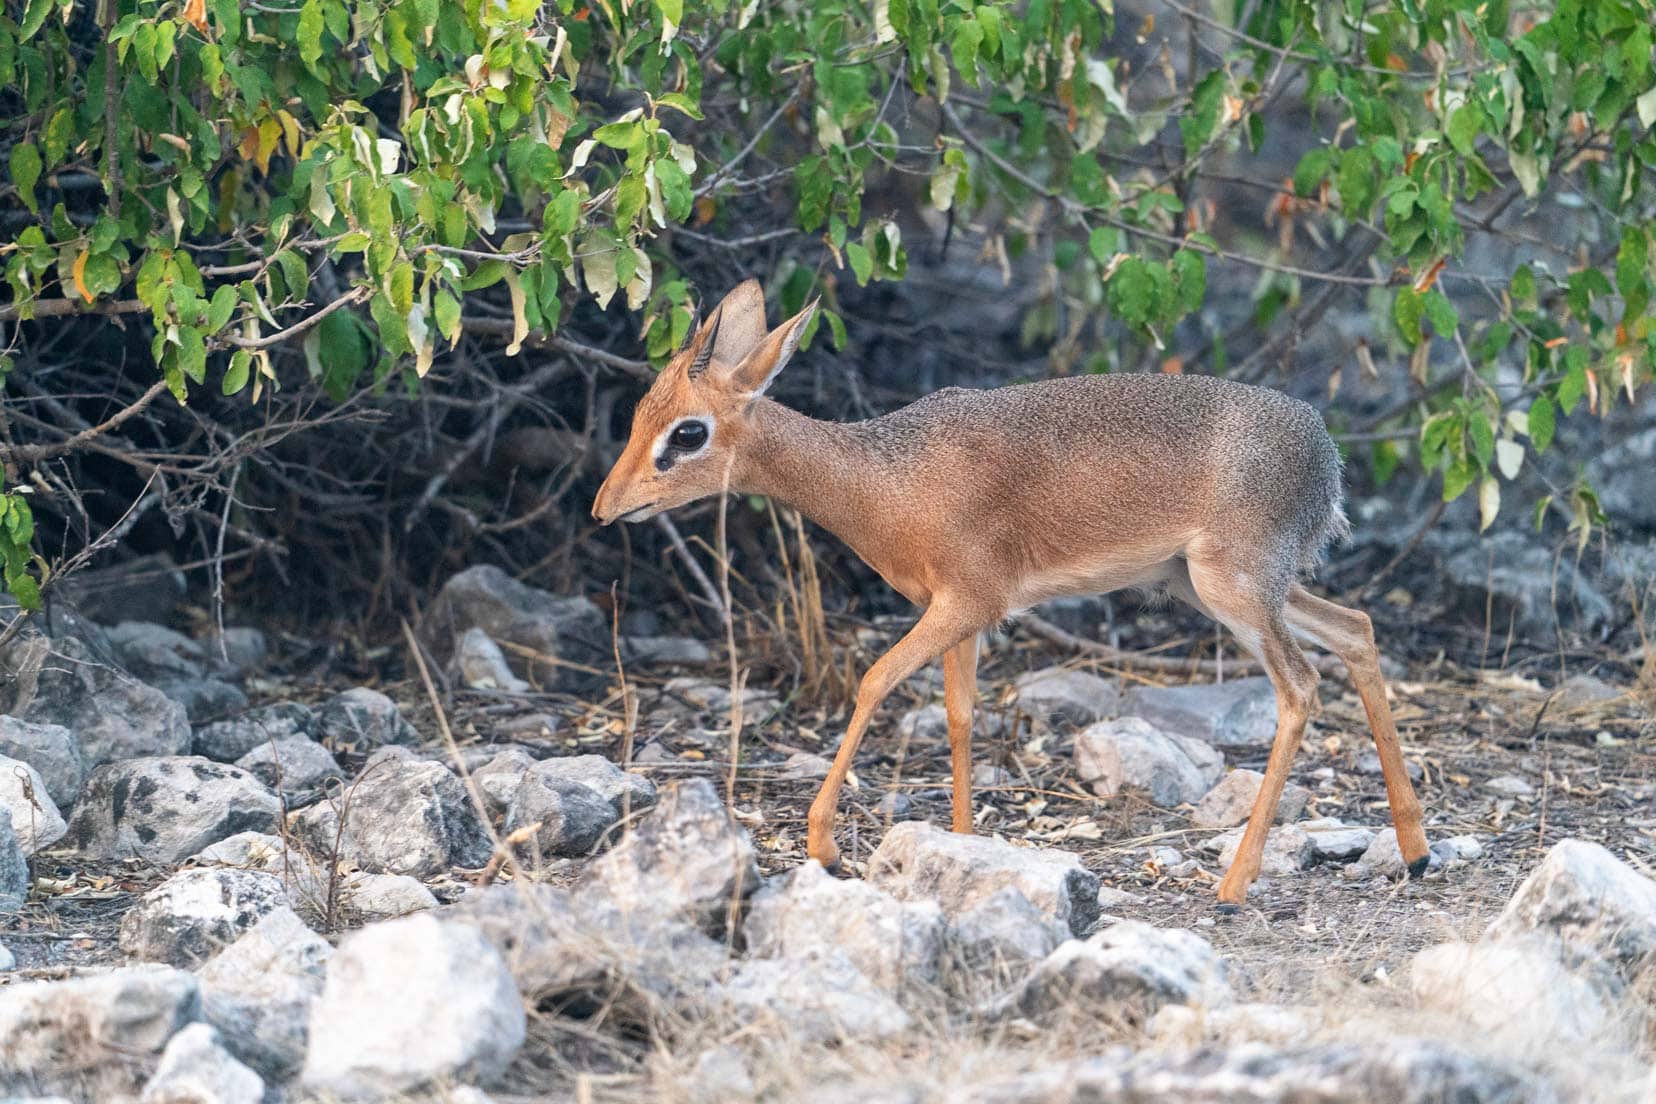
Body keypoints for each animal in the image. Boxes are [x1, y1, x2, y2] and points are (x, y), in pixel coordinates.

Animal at [592, 281, 1424, 913]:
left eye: (687, 432)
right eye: (639, 415)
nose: (604, 507)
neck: (882, 478)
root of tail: (1327, 453)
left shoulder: (968, 605)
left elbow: (874, 681)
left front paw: (824, 843)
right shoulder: (957, 616)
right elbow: (961, 717)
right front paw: (961, 850)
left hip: (1234, 590)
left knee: (1301, 687)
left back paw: (1233, 886)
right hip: (1214, 586)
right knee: (1356, 628)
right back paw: (1414, 849)